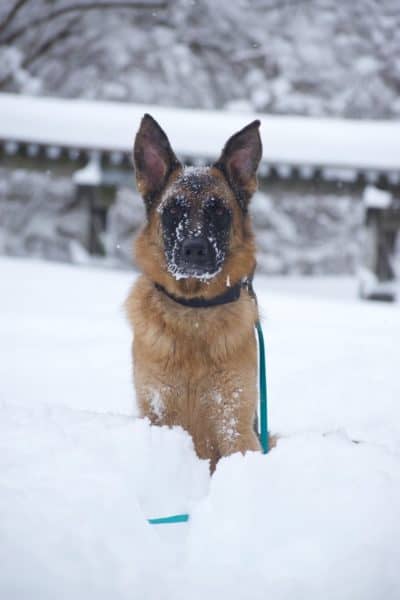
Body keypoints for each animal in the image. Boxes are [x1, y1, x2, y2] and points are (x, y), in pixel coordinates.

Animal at [125, 115, 262, 472]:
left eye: (218, 211)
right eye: (173, 210)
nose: (194, 250)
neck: (194, 312)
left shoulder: (235, 423)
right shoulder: (159, 413)